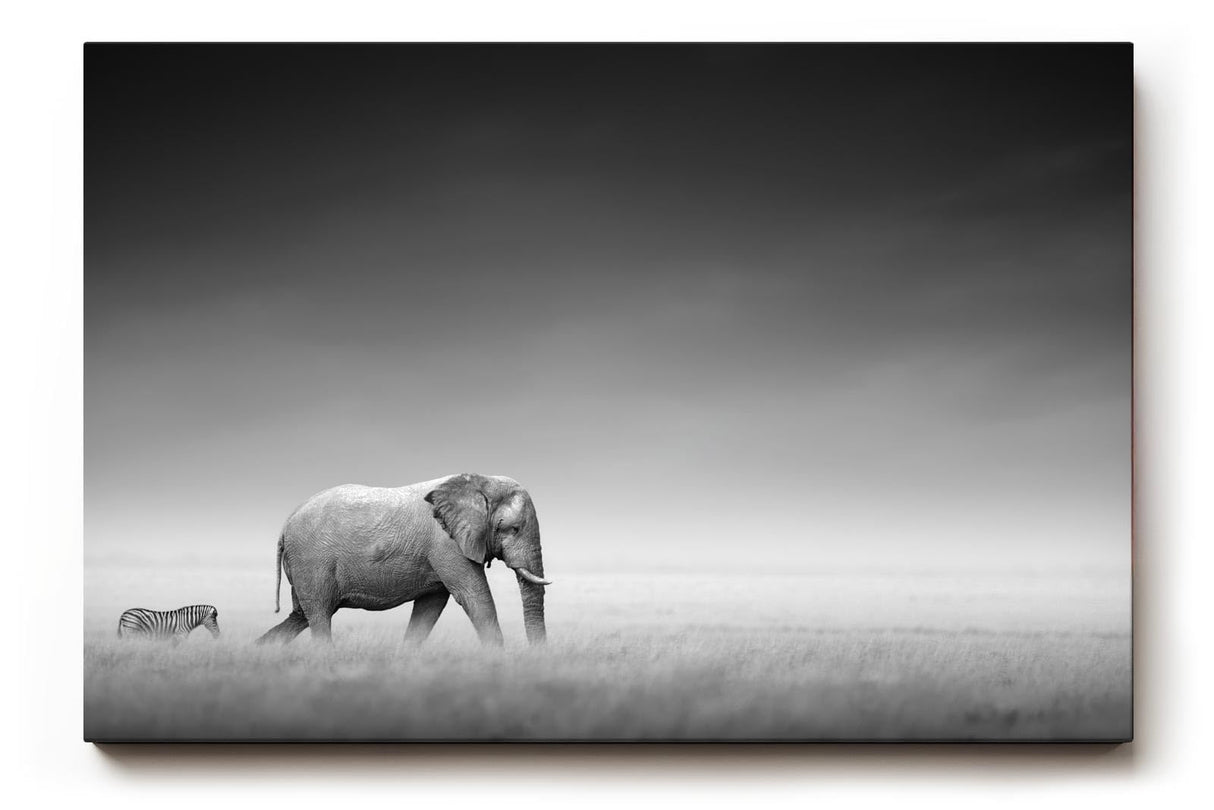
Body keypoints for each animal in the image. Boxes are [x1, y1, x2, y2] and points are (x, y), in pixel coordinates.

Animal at [255, 473, 550, 646]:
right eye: (512, 528)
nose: (535, 658)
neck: (479, 481)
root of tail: (286, 525)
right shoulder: (446, 544)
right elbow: (475, 597)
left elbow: (430, 608)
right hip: (311, 561)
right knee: (318, 615)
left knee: (300, 615)